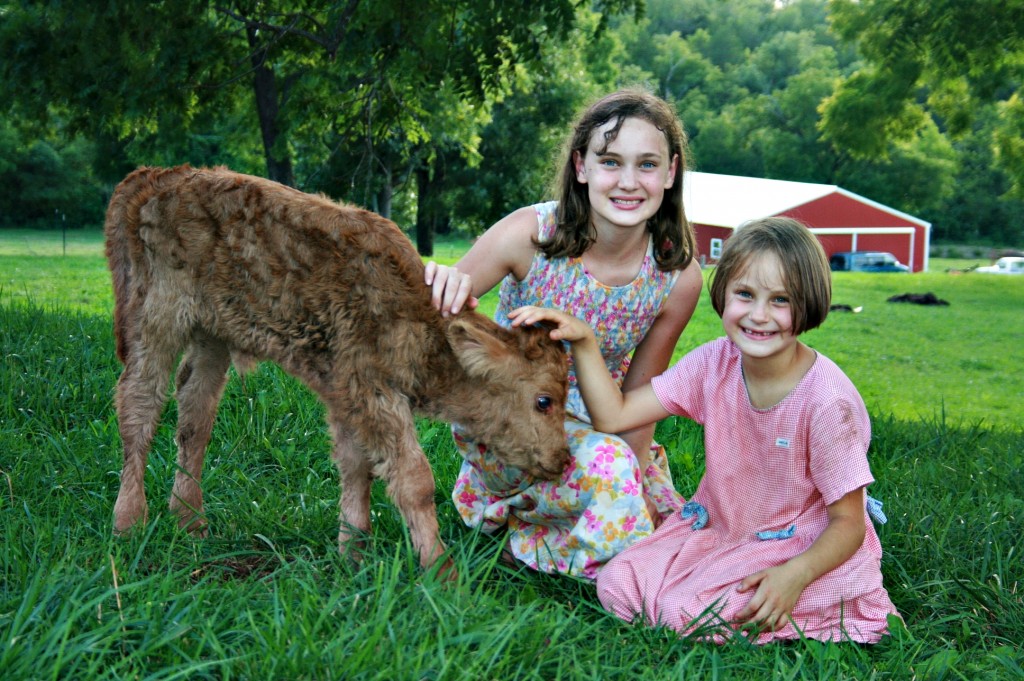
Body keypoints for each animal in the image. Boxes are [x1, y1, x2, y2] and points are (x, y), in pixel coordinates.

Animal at [102, 166, 569, 569]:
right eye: (544, 400)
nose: (563, 459)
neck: (417, 315)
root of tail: (156, 175)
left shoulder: (346, 394)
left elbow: (356, 466)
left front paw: (353, 554)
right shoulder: (373, 392)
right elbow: (414, 479)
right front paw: (442, 573)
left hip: (210, 336)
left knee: (194, 417)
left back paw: (190, 522)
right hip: (155, 320)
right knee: (139, 406)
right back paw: (128, 524)